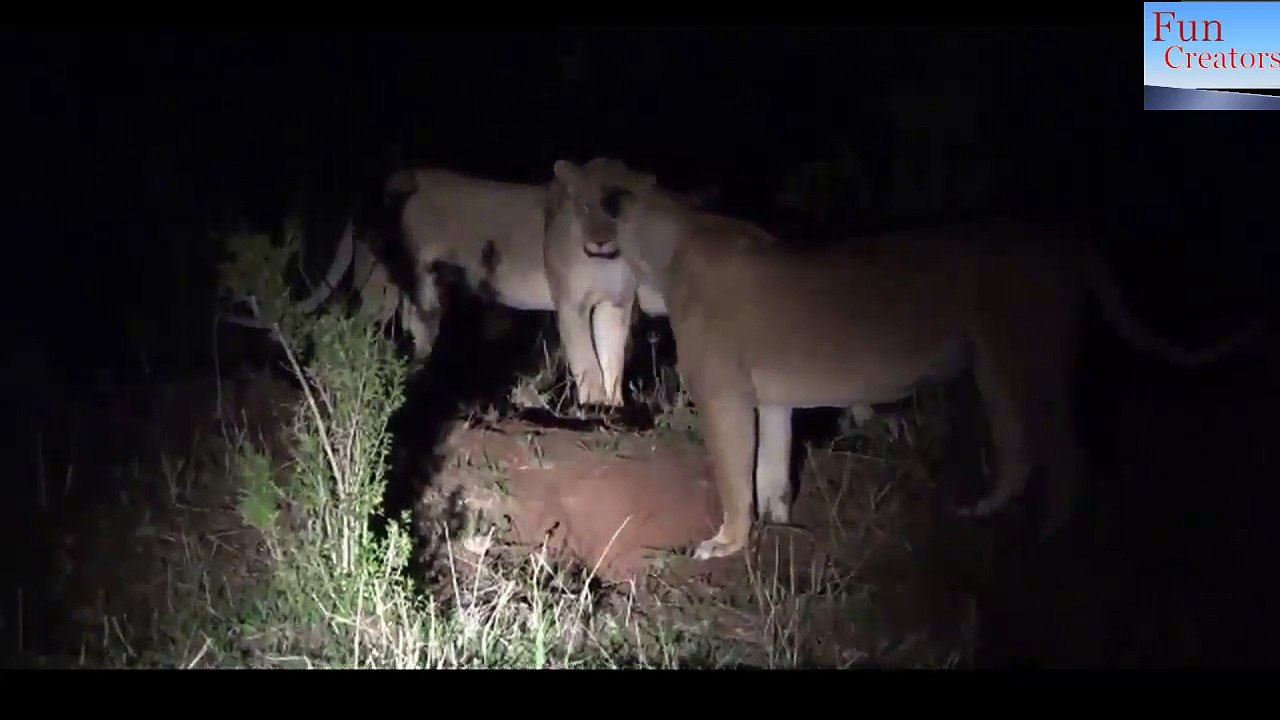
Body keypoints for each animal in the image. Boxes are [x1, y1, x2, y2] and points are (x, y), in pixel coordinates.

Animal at [549, 158, 1263, 561]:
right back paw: (984, 515)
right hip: (996, 368)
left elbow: (734, 474)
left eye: (587, 203)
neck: (663, 247)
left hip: (1026, 359)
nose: (583, 241)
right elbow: (773, 467)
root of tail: (1066, 241)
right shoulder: (772, 398)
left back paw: (1049, 543)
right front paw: (782, 525)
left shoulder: (726, 396)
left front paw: (726, 543)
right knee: (1020, 449)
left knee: (1066, 454)